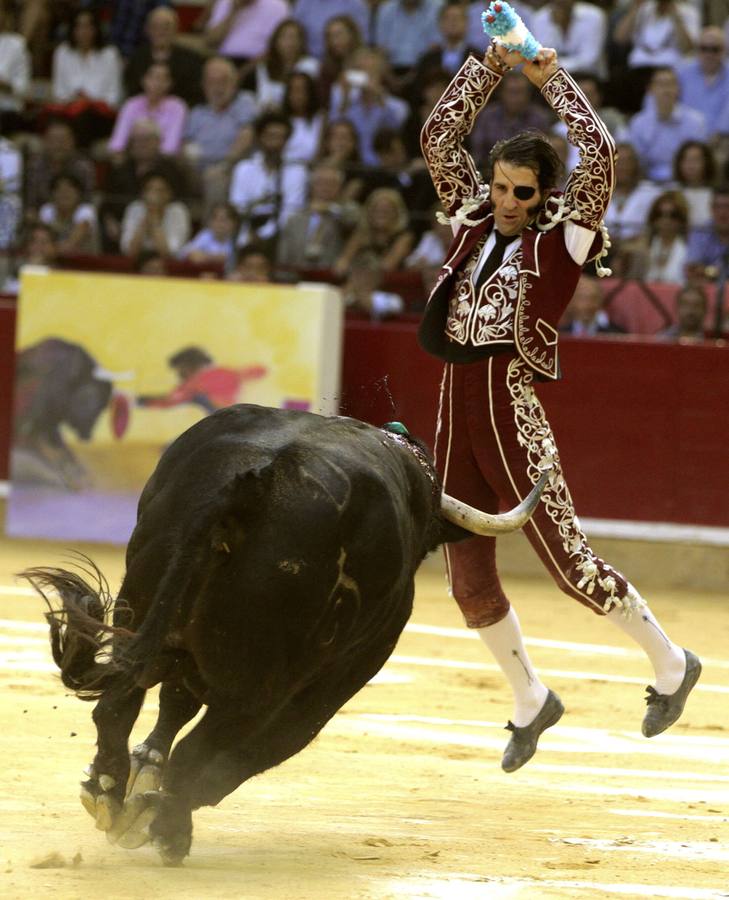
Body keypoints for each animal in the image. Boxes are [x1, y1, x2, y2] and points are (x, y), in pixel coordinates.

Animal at [22, 402, 544, 864]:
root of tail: (254, 485)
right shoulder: (335, 679)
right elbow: (247, 752)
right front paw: (153, 810)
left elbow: (172, 709)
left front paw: (142, 781)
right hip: (266, 681)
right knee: (207, 749)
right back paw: (170, 832)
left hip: (142, 616)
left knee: (118, 707)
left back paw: (109, 794)